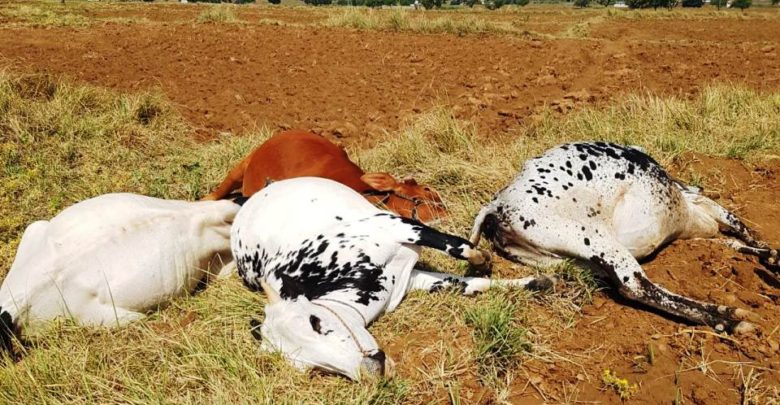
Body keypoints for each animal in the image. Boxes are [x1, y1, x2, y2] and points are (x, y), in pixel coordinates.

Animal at [231, 177, 553, 380]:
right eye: (310, 368)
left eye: (315, 321)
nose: (370, 371)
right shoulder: (412, 279)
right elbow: (467, 284)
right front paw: (535, 282)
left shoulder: (402, 227)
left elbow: (460, 249)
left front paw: (492, 264)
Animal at [469, 142, 778, 334]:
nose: (696, 188)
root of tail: (497, 206)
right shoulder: (706, 208)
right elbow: (740, 226)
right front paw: (772, 257)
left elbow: (733, 243)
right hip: (597, 239)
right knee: (637, 286)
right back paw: (726, 318)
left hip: (570, 261)